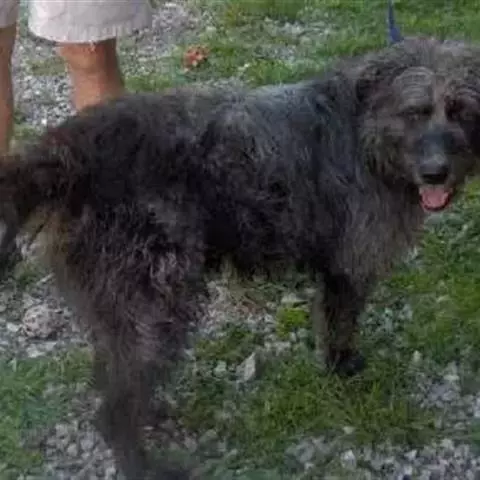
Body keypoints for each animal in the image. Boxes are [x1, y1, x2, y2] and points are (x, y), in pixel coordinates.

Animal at [2, 5, 480, 479]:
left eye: (461, 110)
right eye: (415, 112)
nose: (436, 173)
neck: (365, 133)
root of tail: (67, 154)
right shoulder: (349, 265)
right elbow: (341, 323)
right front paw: (343, 368)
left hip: (122, 307)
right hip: (154, 305)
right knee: (113, 408)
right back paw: (145, 462)